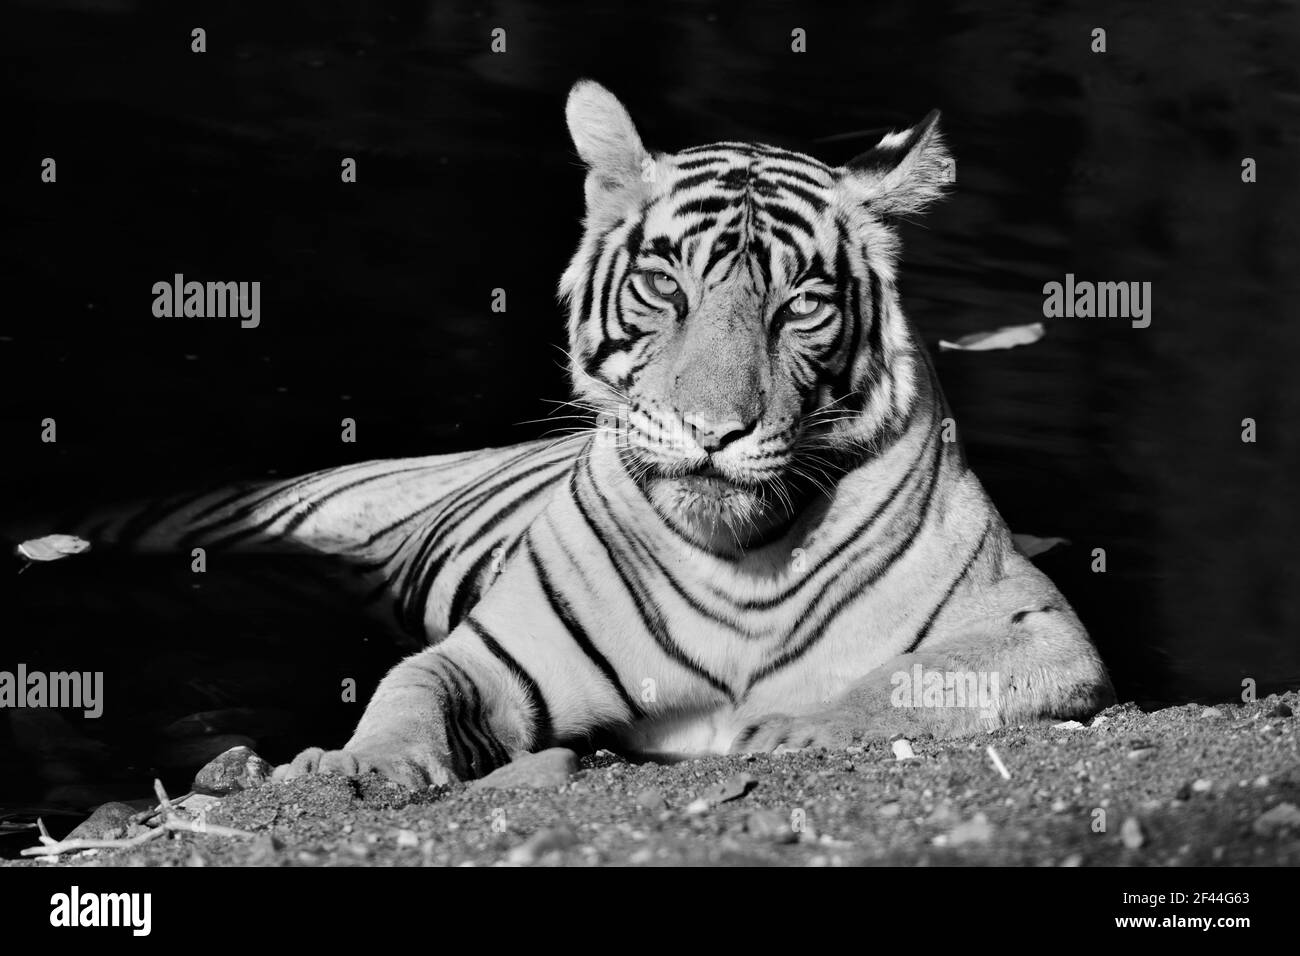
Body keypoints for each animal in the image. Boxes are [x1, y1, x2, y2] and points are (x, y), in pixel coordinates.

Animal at [35, 82, 1112, 785]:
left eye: (799, 305)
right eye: (666, 286)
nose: (715, 429)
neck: (743, 559)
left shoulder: (1039, 627)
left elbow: (915, 676)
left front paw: (786, 729)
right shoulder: (502, 654)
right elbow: (407, 688)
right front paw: (364, 768)